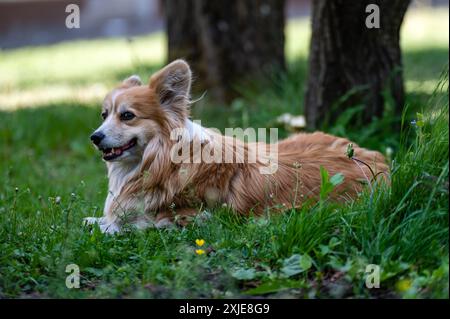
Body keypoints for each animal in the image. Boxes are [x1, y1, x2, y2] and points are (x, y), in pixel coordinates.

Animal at [85, 60, 390, 235]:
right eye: (104, 115)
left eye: (127, 115)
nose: (94, 137)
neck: (158, 160)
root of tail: (382, 164)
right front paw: (96, 220)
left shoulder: (198, 216)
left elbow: (139, 222)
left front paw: (109, 225)